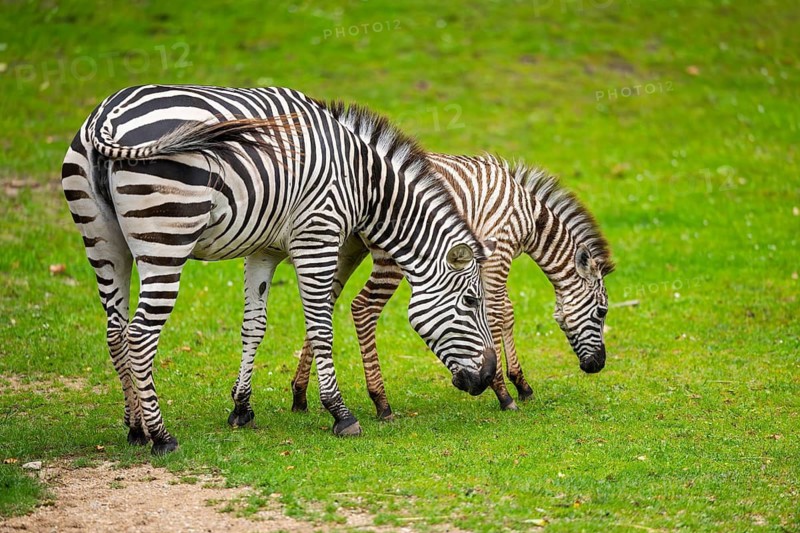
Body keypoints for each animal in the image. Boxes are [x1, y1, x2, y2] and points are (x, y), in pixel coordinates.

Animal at [61, 85, 498, 455]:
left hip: (103, 241)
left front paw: (241, 408)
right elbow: (321, 327)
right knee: (139, 334)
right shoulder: (317, 238)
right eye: (471, 300)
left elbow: (254, 326)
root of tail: (106, 115)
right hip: (166, 236)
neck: (363, 181)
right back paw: (161, 436)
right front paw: (340, 413)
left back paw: (135, 429)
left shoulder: (264, 250)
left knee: (115, 331)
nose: (489, 375)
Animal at [288, 154, 614, 418]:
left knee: (325, 303)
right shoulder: (499, 252)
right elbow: (498, 314)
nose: (598, 365)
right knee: (362, 308)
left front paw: (518, 383)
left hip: (345, 246)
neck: (531, 218)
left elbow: (503, 313)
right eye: (602, 312)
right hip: (390, 254)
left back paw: (300, 394)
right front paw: (506, 390)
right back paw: (381, 402)